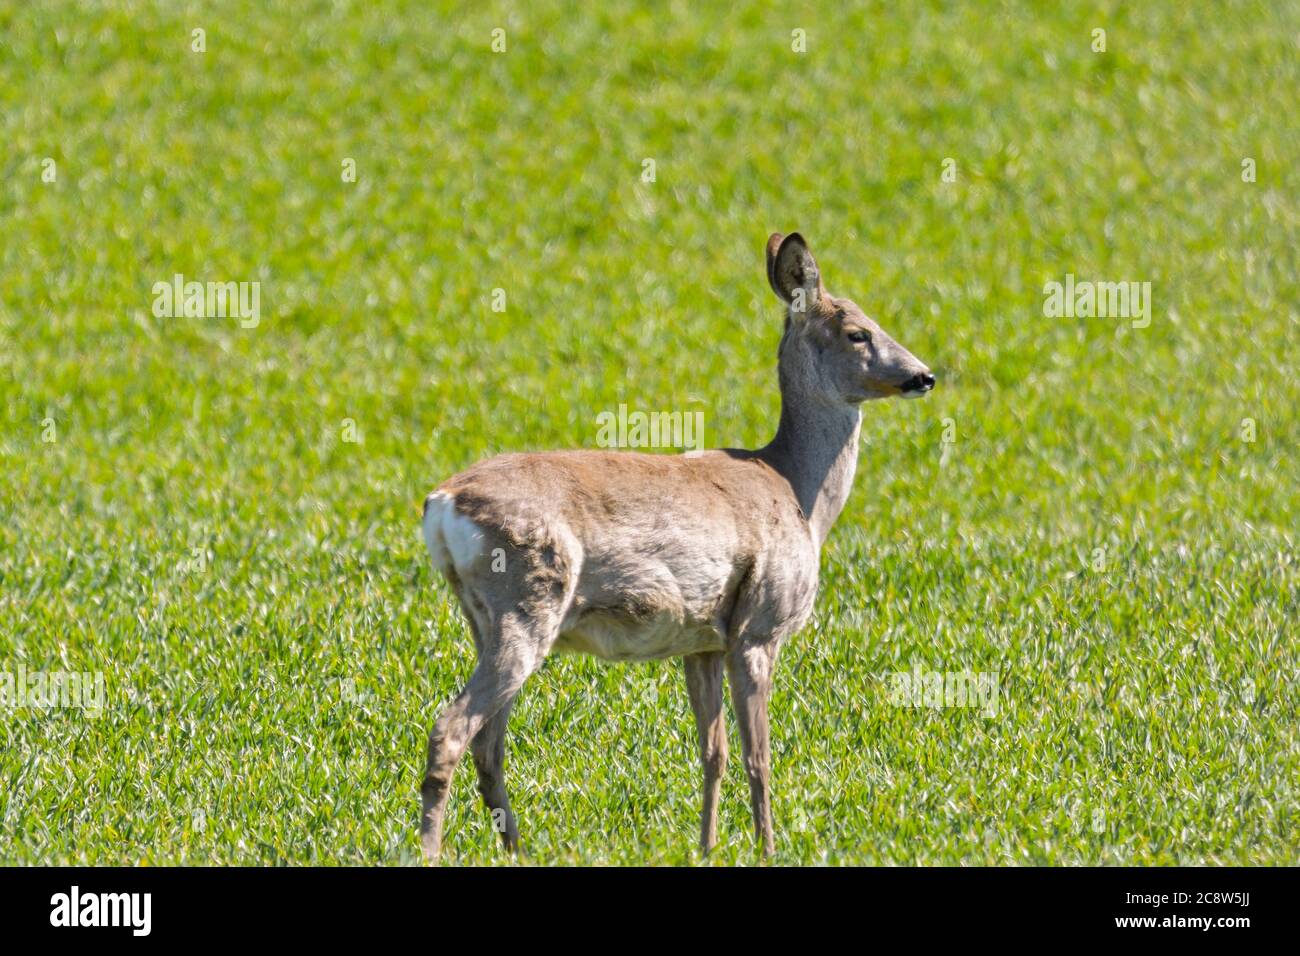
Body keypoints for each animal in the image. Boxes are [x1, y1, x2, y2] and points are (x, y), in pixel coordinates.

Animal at [421, 234, 941, 868]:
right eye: (857, 332)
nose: (922, 375)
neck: (798, 494)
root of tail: (442, 503)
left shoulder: (703, 641)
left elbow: (713, 753)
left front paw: (707, 847)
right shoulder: (758, 627)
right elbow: (759, 756)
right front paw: (769, 849)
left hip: (484, 618)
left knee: (488, 747)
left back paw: (517, 850)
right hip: (528, 600)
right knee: (451, 730)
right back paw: (429, 851)